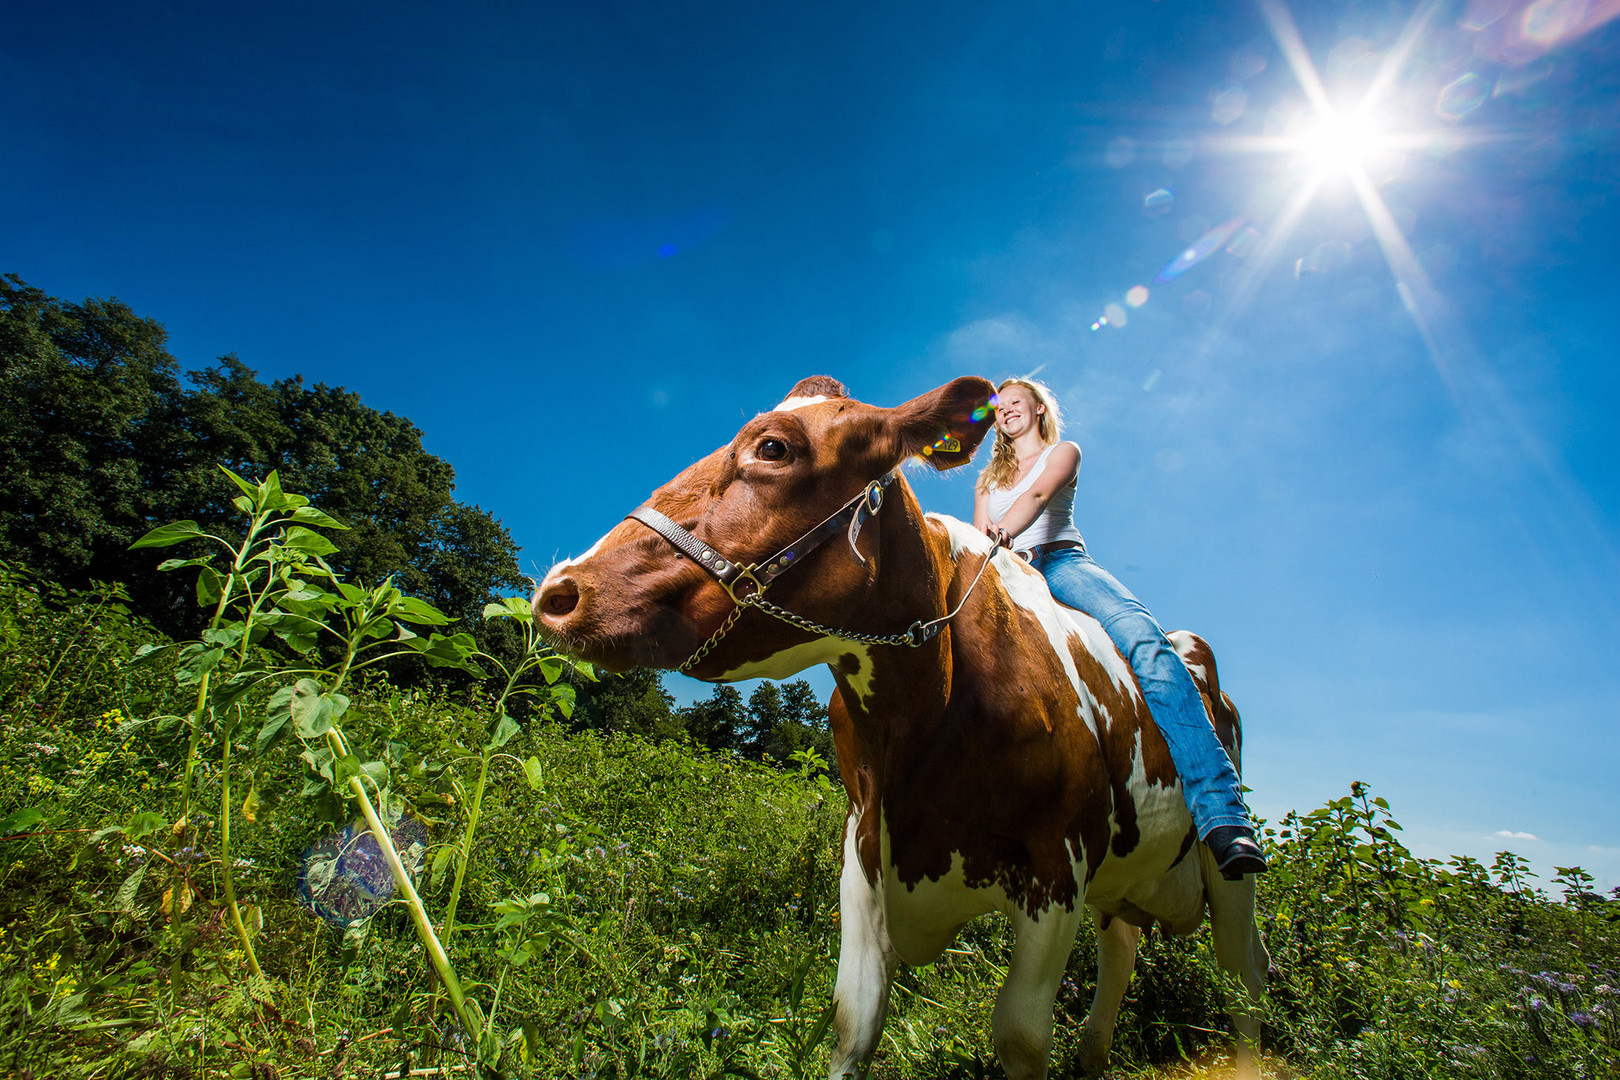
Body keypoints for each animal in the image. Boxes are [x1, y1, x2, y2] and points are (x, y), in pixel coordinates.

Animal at [537, 375, 1270, 1075]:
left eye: (773, 447)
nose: (559, 593)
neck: (919, 736)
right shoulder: (863, 847)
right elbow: (853, 1020)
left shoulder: (1058, 864)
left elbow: (1021, 1037)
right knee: (1121, 952)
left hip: (1223, 868)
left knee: (1244, 976)